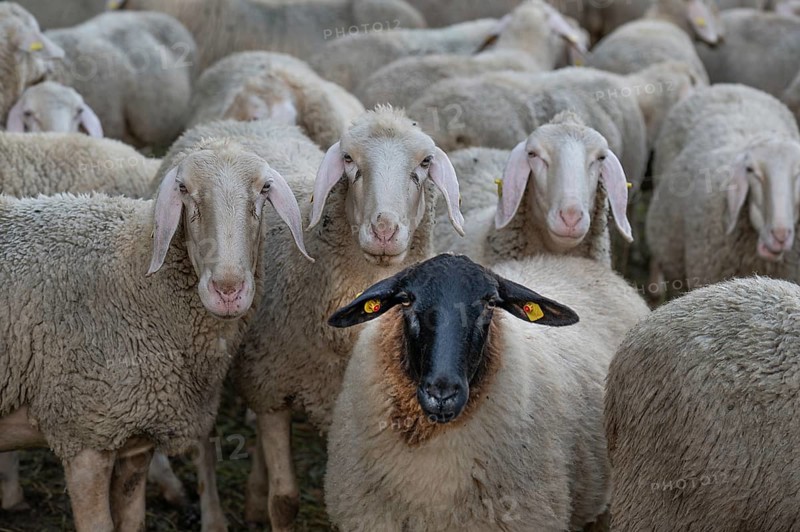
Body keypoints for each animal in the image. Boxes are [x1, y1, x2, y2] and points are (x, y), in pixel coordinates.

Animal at [0, 122, 312, 532]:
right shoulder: (84, 433)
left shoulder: (136, 438)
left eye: (264, 189)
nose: (228, 291)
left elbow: (132, 523)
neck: (136, 277)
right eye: (183, 189)